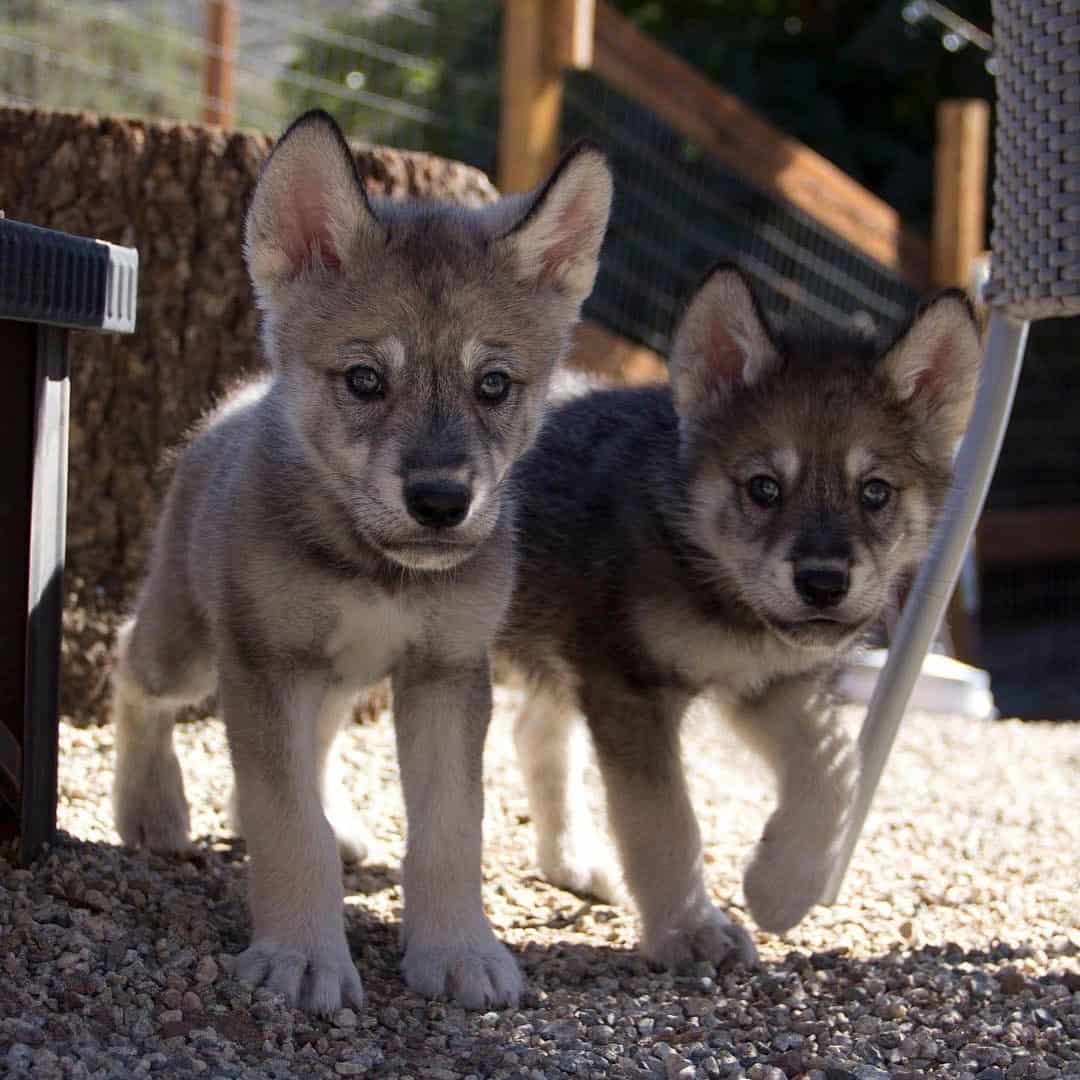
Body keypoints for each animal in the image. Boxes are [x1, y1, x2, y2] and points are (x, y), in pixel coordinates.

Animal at [115, 109, 617, 1010]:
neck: (378, 570)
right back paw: (151, 808)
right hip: (189, 649)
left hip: (336, 676)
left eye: (494, 385)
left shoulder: (446, 673)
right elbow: (288, 826)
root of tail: (238, 400)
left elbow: (451, 827)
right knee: (129, 668)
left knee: (312, 745)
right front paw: (301, 955)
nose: (442, 501)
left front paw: (457, 949)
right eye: (364, 379)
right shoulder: (268, 661)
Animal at [501, 263, 984, 972]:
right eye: (763, 488)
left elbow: (837, 772)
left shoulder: (768, 684)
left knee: (535, 733)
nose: (822, 584)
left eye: (874, 492)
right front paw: (689, 930)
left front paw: (782, 889)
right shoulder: (630, 688)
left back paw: (573, 862)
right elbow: (664, 820)